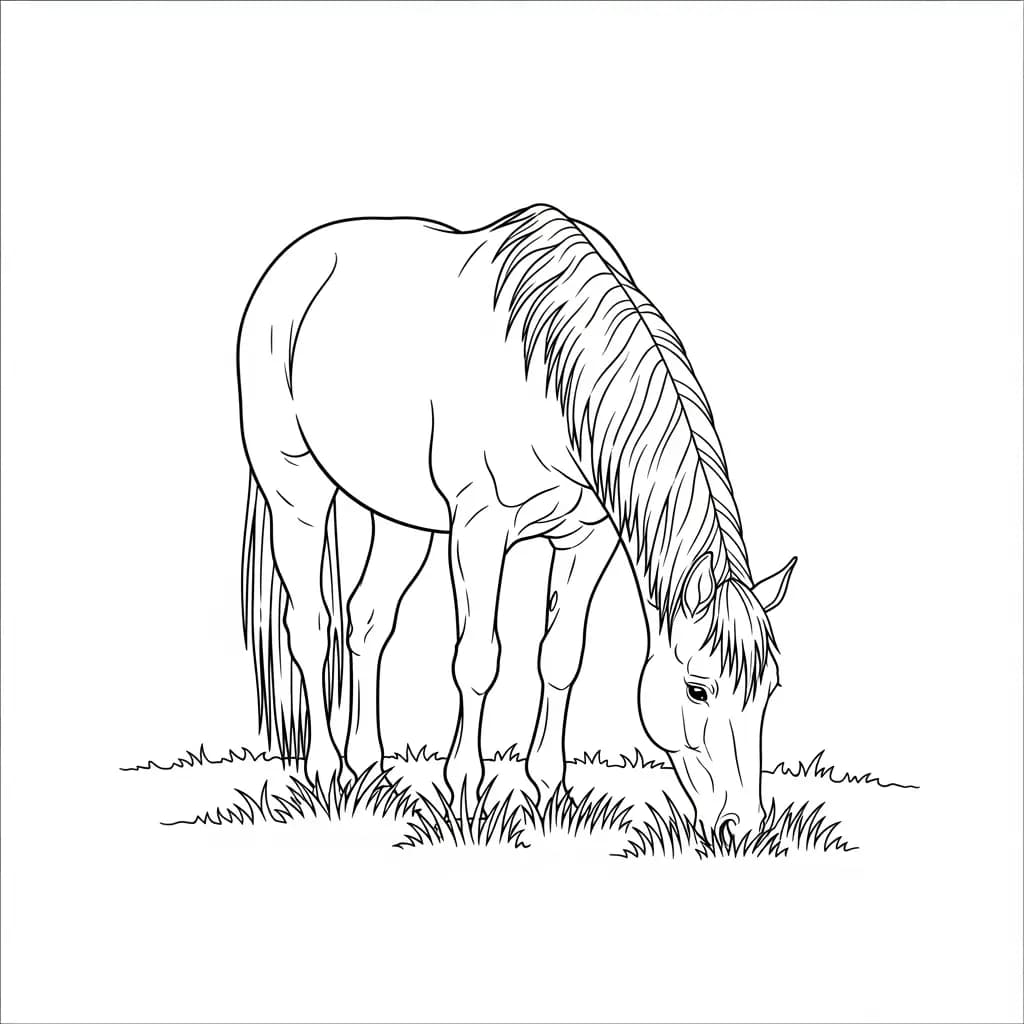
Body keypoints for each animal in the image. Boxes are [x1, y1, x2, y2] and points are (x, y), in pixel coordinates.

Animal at [237, 204, 796, 842]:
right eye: (697, 690)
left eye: (770, 690)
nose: (743, 828)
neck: (553, 378)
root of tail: (295, 258)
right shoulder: (479, 529)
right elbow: (478, 659)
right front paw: (464, 794)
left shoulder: (589, 538)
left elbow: (560, 657)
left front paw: (548, 788)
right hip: (295, 491)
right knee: (310, 622)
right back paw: (324, 771)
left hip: (399, 518)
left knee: (366, 622)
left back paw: (368, 771)